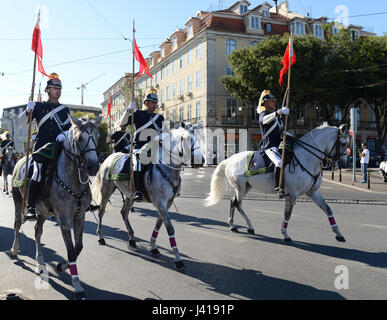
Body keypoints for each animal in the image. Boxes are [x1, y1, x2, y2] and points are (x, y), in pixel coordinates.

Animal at [9, 115, 102, 300]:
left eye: (98, 137)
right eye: (79, 139)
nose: (94, 167)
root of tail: (21, 159)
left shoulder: (80, 217)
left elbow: (78, 248)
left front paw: (62, 266)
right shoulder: (65, 219)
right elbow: (71, 250)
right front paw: (77, 285)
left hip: (42, 212)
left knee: (37, 232)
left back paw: (40, 261)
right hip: (19, 203)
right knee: (17, 225)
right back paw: (15, 250)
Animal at [90, 125, 196, 270]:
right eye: (184, 139)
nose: (200, 160)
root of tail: (109, 157)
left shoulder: (166, 203)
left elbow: (159, 224)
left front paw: (153, 247)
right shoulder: (160, 202)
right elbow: (169, 228)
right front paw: (178, 259)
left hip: (129, 194)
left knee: (124, 213)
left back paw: (132, 240)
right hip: (107, 191)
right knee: (101, 212)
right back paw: (101, 237)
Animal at [205, 123, 350, 242]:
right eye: (343, 143)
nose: (343, 163)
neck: (307, 158)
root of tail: (228, 159)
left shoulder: (313, 192)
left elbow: (328, 209)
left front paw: (338, 233)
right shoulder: (292, 195)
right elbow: (288, 214)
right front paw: (285, 234)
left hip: (246, 187)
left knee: (233, 201)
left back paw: (235, 225)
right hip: (240, 188)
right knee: (237, 203)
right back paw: (245, 226)